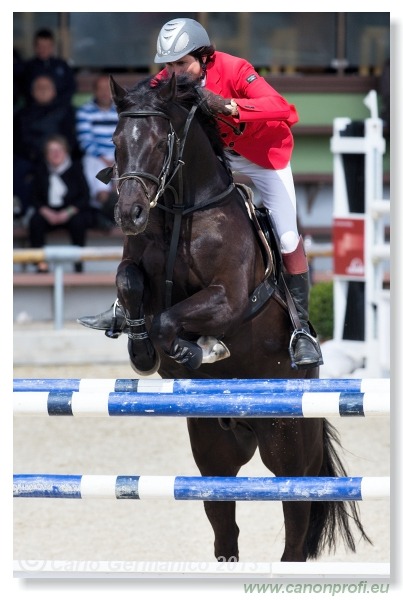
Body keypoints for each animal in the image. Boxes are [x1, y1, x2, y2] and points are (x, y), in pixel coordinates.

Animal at [105, 75, 372, 564]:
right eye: (115, 142)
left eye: (159, 143)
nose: (129, 215)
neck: (183, 210)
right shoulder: (140, 272)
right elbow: (130, 283)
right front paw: (142, 350)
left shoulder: (228, 298)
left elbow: (171, 321)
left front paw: (198, 349)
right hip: (214, 452)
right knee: (224, 528)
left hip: (287, 445)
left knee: (295, 527)